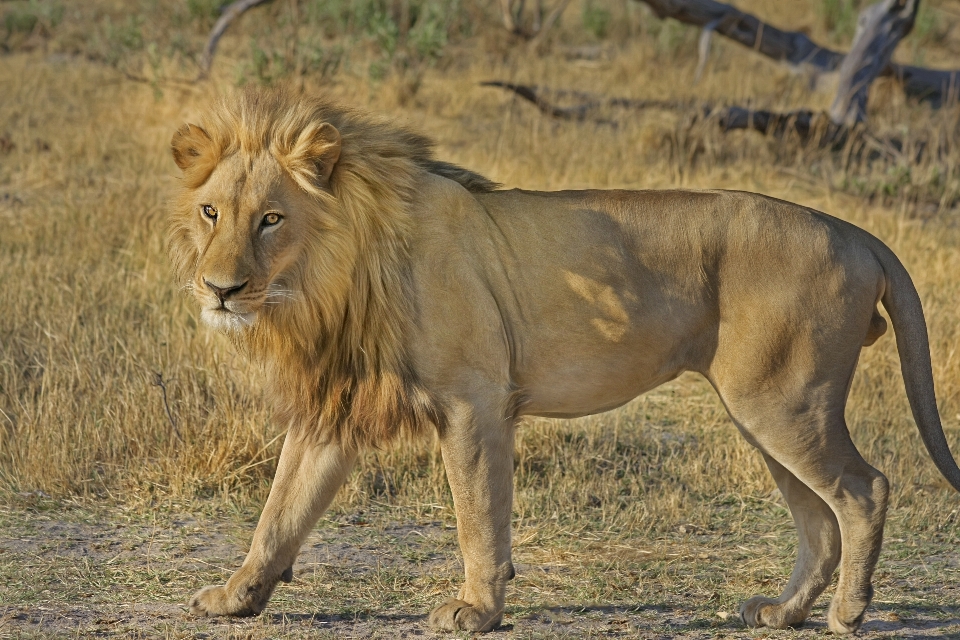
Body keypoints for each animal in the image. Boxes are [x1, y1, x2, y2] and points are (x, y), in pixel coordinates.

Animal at [167, 86, 960, 636]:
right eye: (212, 212)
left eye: (272, 218)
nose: (220, 289)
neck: (329, 280)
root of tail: (855, 231)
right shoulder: (335, 409)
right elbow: (280, 512)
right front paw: (235, 598)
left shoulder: (474, 401)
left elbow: (478, 516)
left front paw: (475, 610)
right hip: (764, 411)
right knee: (819, 520)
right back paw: (784, 613)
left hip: (783, 402)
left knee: (864, 490)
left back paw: (849, 614)